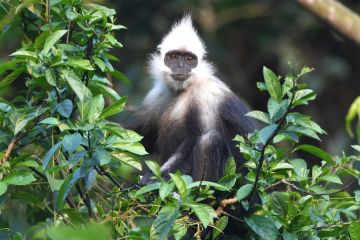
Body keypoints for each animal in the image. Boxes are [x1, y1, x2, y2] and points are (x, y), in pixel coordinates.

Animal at [128, 15, 258, 184]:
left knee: (209, 140)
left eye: (189, 59)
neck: (182, 90)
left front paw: (155, 178)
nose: (181, 66)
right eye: (173, 57)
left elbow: (194, 141)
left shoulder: (205, 96)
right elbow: (143, 137)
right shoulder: (158, 95)